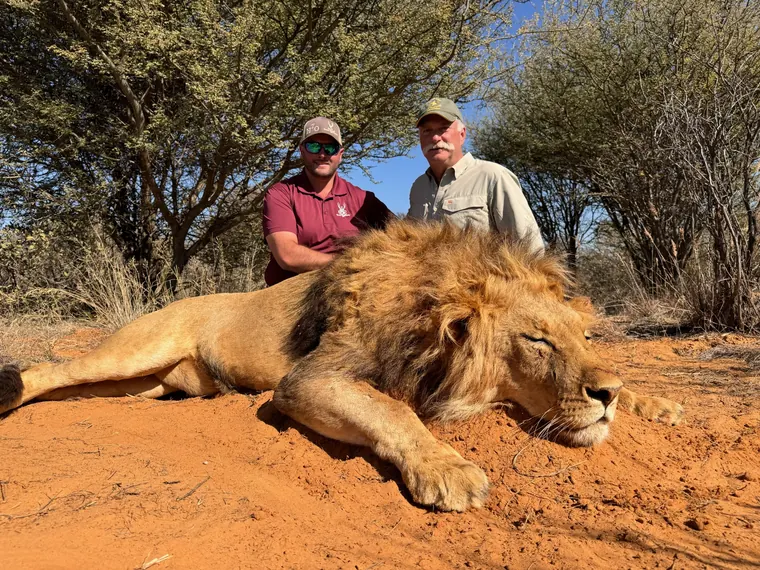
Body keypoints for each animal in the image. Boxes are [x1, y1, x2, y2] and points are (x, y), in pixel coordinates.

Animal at [0, 220, 683, 511]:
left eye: (584, 335)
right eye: (537, 341)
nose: (604, 395)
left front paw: (654, 401)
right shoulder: (307, 379)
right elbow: (394, 411)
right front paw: (450, 470)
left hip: (141, 386)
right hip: (136, 348)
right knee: (54, 370)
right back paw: (10, 392)